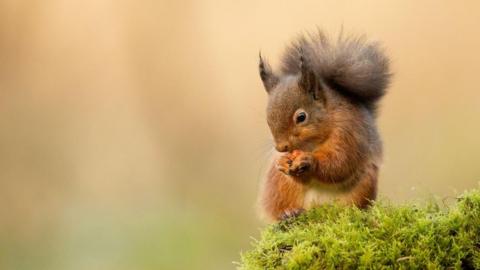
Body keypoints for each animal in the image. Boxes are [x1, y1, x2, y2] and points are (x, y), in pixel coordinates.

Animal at [258, 31, 390, 221]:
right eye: (268, 118)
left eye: (301, 117)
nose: (281, 148)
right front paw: (282, 162)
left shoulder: (348, 133)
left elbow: (340, 163)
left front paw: (309, 161)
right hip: (278, 188)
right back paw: (289, 213)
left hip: (364, 185)